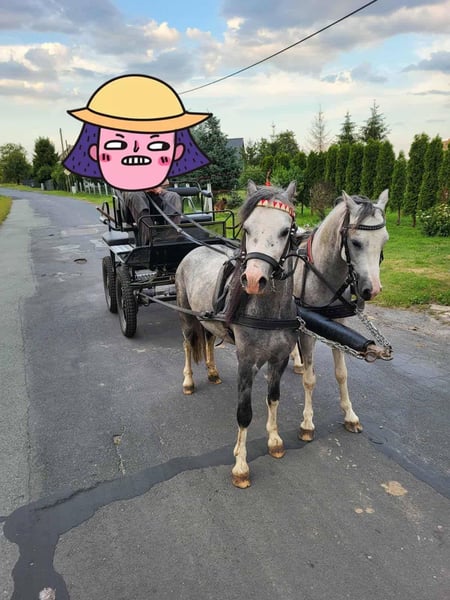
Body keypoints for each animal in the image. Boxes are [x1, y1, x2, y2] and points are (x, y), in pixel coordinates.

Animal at [175, 181, 300, 488]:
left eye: (285, 231)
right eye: (248, 229)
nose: (253, 279)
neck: (269, 311)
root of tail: (193, 252)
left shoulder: (279, 360)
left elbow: (273, 398)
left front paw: (275, 440)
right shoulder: (246, 362)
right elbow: (244, 414)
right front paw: (241, 465)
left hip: (207, 319)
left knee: (208, 340)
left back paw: (212, 371)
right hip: (186, 317)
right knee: (187, 345)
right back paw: (189, 381)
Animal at [292, 190, 389, 441]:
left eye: (385, 240)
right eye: (355, 242)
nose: (372, 289)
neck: (322, 273)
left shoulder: (336, 323)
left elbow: (342, 373)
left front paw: (350, 415)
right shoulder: (307, 329)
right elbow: (310, 379)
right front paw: (307, 422)